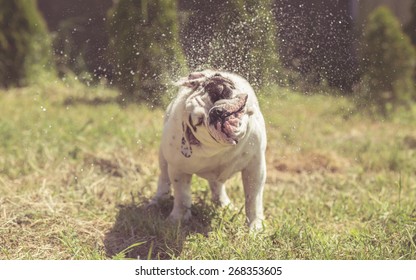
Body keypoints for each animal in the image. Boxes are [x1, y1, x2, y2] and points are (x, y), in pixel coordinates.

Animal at [150, 70, 266, 230]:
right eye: (198, 121)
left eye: (221, 92)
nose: (216, 112)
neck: (221, 148)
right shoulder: (178, 170)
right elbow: (182, 196)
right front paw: (177, 219)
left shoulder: (254, 167)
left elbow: (252, 199)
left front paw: (255, 226)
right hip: (163, 158)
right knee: (164, 178)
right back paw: (158, 200)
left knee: (217, 185)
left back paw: (224, 204)